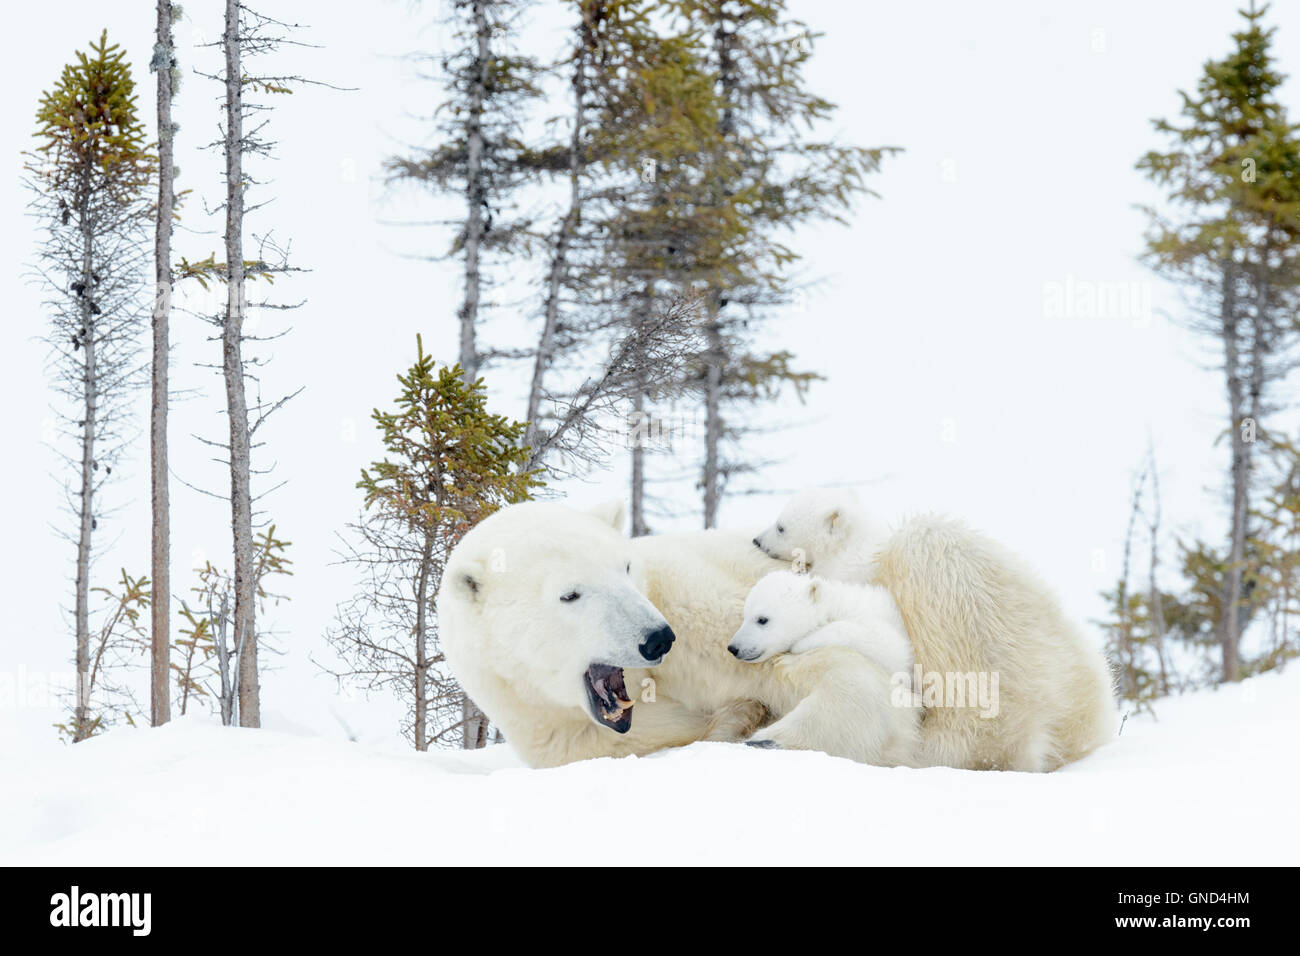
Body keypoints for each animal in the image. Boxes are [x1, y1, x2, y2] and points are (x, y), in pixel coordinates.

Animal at [437, 498, 1117, 771]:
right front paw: (735, 720)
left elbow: (788, 659)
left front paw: (767, 733)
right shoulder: (562, 736)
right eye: (570, 593)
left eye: (625, 567)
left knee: (932, 547)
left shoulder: (696, 599)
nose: (657, 639)